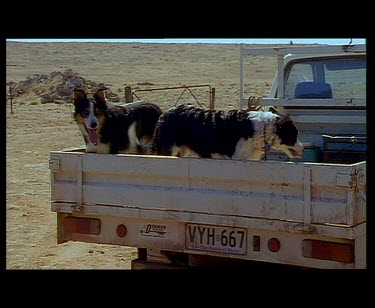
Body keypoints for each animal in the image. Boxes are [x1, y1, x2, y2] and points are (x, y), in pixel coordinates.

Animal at [153, 104, 306, 160]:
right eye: (293, 135)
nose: (303, 148)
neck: (262, 129)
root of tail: (165, 112)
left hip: (182, 151)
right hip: (168, 150)